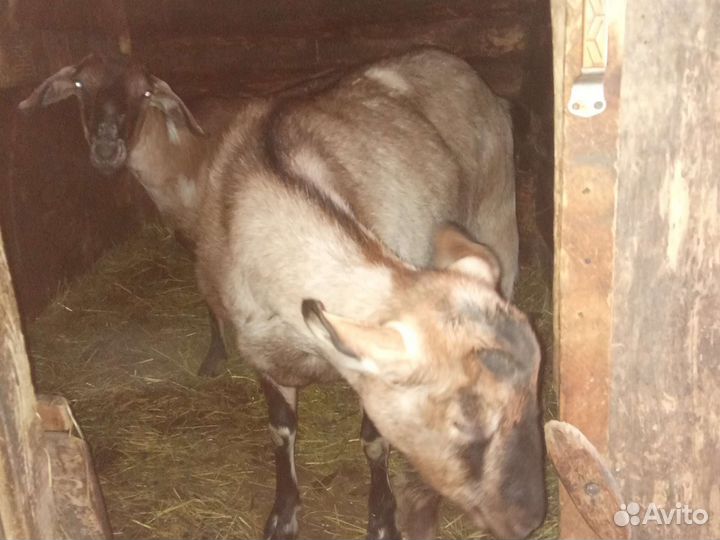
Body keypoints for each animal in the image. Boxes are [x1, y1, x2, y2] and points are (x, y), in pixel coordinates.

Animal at [19, 54, 243, 376]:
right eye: (80, 84)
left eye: (145, 92)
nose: (107, 149)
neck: (188, 155)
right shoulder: (190, 237)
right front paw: (215, 357)